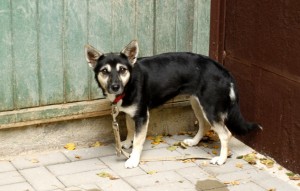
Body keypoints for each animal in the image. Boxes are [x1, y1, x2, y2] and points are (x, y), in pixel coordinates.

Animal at [84, 39, 260, 168]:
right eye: (104, 71)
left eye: (122, 70)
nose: (115, 87)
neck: (129, 83)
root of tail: (224, 71)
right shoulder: (131, 112)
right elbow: (130, 128)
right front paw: (126, 143)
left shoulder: (142, 116)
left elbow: (139, 141)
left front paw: (133, 159)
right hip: (197, 103)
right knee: (204, 125)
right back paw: (194, 142)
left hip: (211, 108)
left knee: (225, 134)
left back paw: (221, 159)